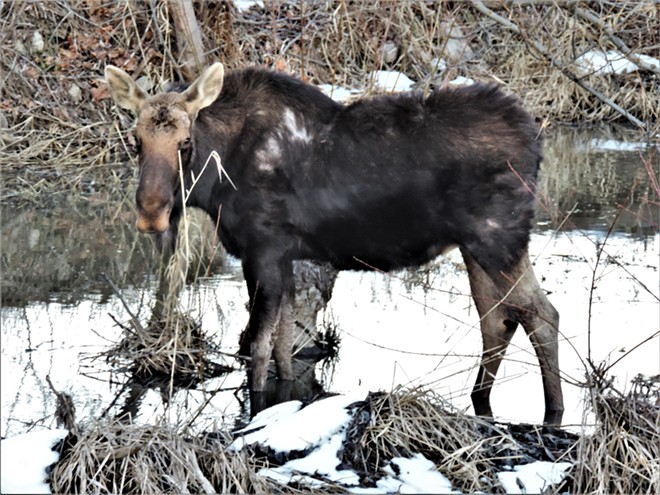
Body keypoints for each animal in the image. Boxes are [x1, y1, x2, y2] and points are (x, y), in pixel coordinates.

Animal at [105, 62, 564, 426]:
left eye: (184, 143)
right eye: (136, 142)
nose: (151, 213)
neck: (217, 180)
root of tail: (536, 140)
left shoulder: (263, 248)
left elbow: (257, 346)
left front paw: (256, 410)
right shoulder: (285, 255)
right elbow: (284, 343)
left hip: (498, 236)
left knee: (540, 314)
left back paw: (554, 411)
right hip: (475, 245)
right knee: (497, 319)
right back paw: (480, 398)